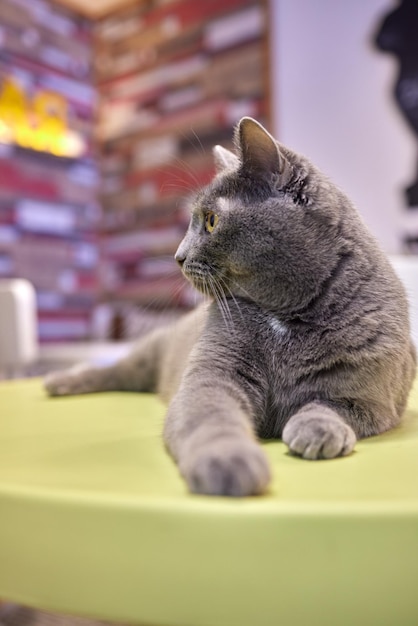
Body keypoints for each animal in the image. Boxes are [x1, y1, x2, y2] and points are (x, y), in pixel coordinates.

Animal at [44, 117, 416, 494]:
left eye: (211, 220)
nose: (178, 256)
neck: (285, 315)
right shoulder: (212, 372)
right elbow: (212, 415)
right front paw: (228, 461)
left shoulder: (372, 397)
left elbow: (329, 405)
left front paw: (318, 431)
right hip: (154, 348)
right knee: (118, 369)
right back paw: (60, 381)